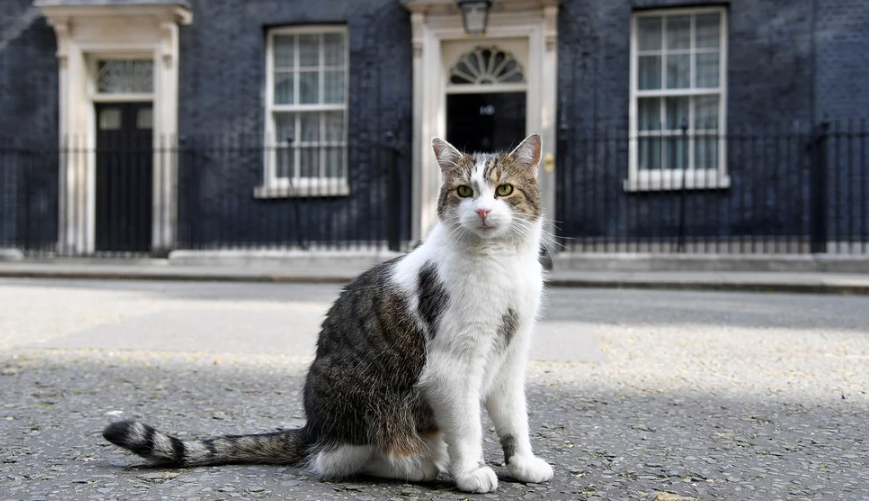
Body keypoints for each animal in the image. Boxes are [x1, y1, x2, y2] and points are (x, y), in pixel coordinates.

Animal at [100, 133, 548, 492]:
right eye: (464, 192)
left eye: (504, 189)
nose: (484, 211)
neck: (501, 264)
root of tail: (312, 429)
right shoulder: (452, 367)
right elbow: (468, 425)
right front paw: (471, 472)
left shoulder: (510, 358)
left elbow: (514, 420)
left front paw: (522, 465)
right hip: (366, 395)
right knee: (341, 460)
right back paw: (421, 463)